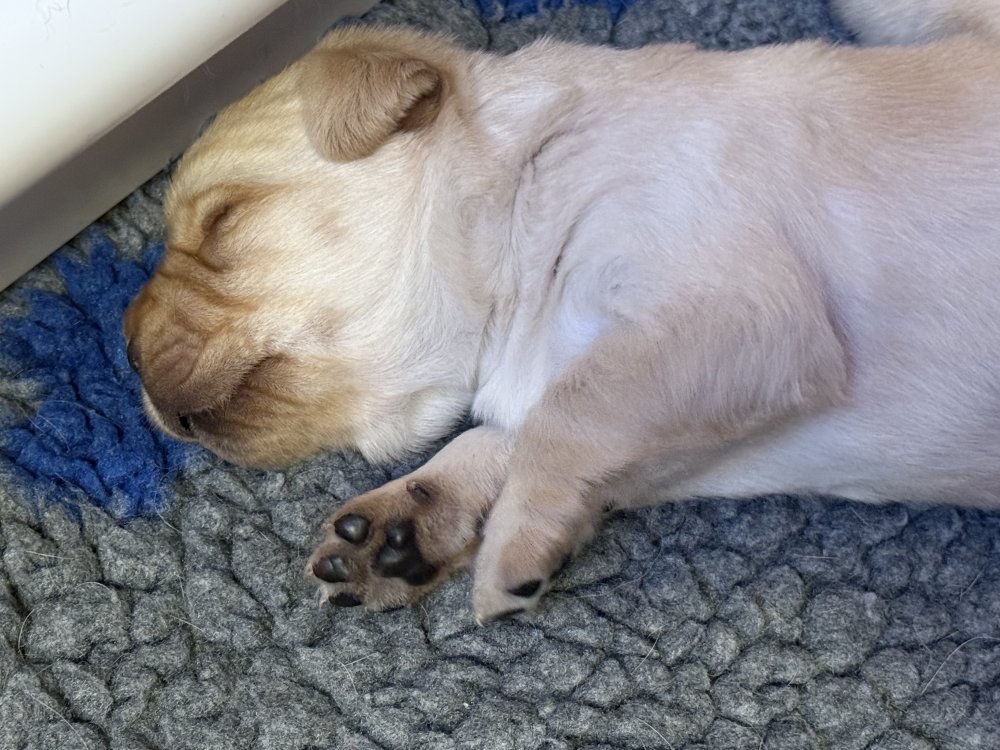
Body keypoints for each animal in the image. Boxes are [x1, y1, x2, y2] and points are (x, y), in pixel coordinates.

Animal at [122, 0, 1000, 623]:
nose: (123, 346)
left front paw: (513, 543)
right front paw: (406, 523)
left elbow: (569, 413)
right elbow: (516, 431)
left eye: (225, 219)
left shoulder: (744, 313)